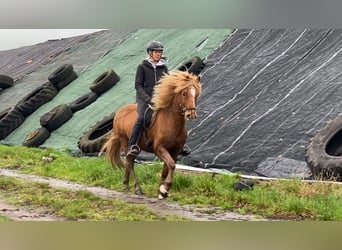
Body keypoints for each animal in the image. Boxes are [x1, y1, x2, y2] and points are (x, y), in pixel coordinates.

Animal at [100, 70, 202, 199]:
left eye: (196, 95)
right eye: (184, 93)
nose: (191, 115)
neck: (171, 121)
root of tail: (119, 112)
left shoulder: (175, 150)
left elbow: (166, 168)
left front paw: (161, 191)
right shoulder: (159, 148)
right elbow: (171, 165)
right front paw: (165, 188)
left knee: (129, 161)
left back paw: (128, 184)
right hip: (125, 142)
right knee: (129, 162)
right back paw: (135, 187)